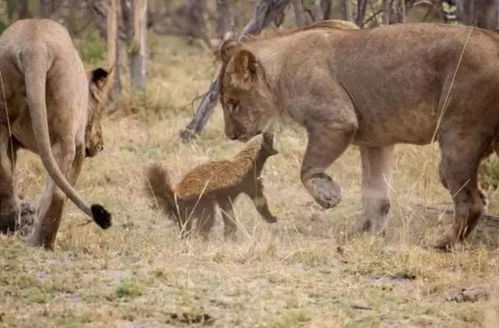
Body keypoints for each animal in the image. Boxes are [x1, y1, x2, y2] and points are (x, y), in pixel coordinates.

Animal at [0, 19, 111, 249]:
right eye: (100, 108)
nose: (101, 145)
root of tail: (34, 46)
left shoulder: (13, 142)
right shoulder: (79, 145)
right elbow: (65, 186)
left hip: (2, 119)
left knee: (4, 170)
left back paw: (11, 224)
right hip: (65, 135)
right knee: (57, 191)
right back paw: (42, 242)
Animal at [145, 133, 280, 238]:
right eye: (269, 138)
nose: (271, 132)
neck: (249, 158)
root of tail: (176, 195)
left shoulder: (225, 196)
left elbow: (228, 213)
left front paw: (230, 232)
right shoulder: (249, 181)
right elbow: (259, 200)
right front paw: (272, 218)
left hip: (186, 212)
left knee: (186, 226)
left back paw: (187, 239)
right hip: (201, 202)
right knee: (206, 220)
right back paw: (202, 238)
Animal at [221, 19, 499, 249]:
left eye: (232, 103)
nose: (231, 135)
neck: (280, 70)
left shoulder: (336, 120)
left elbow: (307, 169)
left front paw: (328, 196)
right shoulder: (376, 141)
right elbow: (376, 194)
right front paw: (366, 234)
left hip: (459, 138)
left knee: (472, 202)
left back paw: (442, 242)